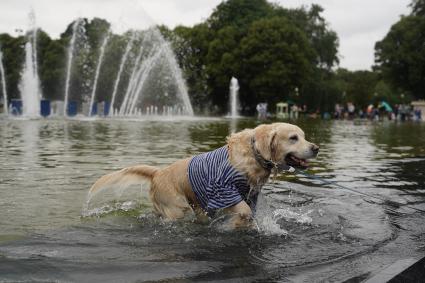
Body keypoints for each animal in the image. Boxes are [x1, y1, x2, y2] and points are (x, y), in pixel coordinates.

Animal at [87, 123, 318, 230]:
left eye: (304, 136)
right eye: (293, 138)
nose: (316, 148)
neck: (254, 154)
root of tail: (158, 172)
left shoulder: (251, 194)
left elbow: (249, 211)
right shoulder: (222, 189)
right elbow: (244, 211)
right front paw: (234, 225)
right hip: (178, 208)